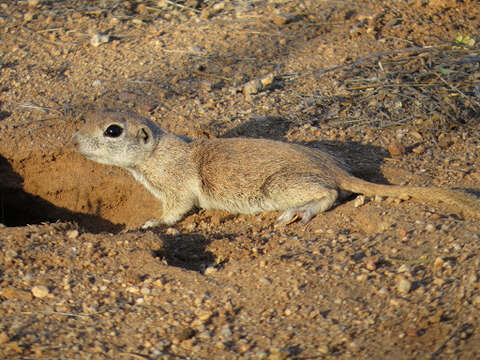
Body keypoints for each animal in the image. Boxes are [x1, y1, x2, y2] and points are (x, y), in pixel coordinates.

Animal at [72, 110, 480, 228]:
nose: (73, 141)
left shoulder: (175, 187)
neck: (155, 152)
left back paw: (299, 212)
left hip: (279, 187)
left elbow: (175, 209)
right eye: (88, 117)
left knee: (330, 194)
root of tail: (336, 168)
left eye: (112, 131)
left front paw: (153, 222)